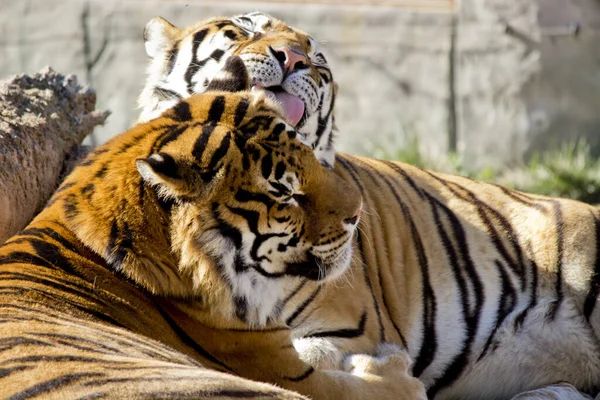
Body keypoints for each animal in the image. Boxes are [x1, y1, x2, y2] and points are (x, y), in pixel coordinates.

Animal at [1, 57, 600, 400]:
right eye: (284, 191)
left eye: (311, 153)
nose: (358, 215)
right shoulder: (284, 369)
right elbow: (373, 386)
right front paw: (386, 369)